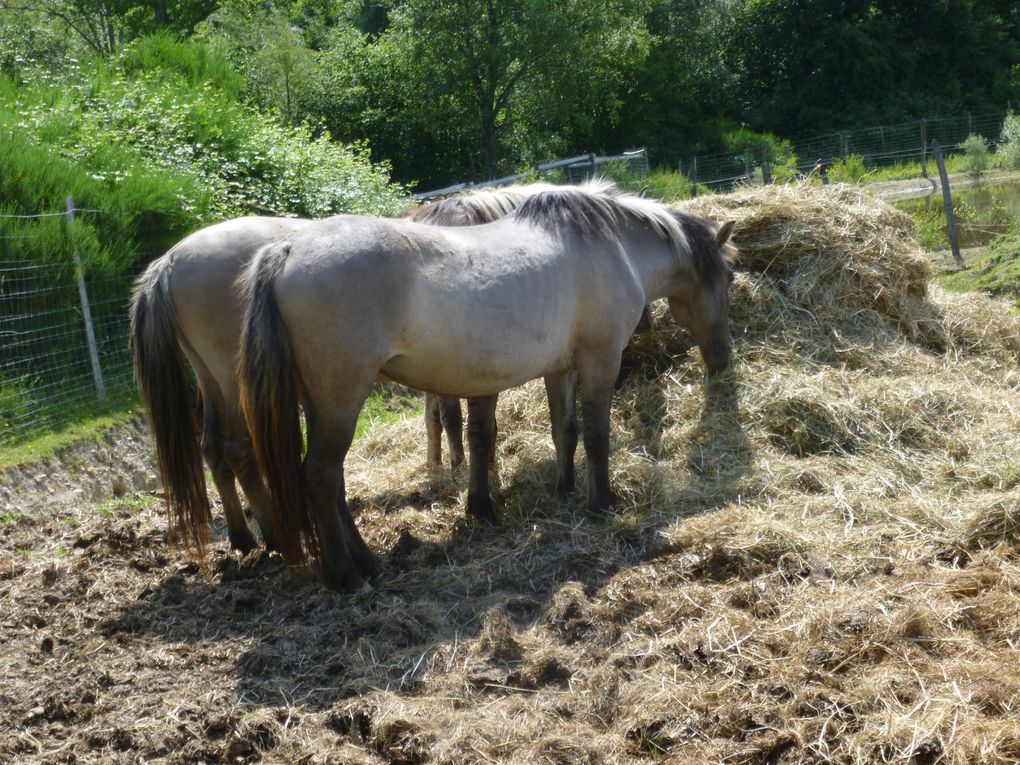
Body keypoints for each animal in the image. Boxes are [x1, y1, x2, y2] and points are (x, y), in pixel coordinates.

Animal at [237, 182, 734, 591]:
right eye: (730, 276)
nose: (723, 361)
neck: (613, 245)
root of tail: (287, 249)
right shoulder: (600, 360)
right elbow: (597, 434)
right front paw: (600, 503)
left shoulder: (560, 369)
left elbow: (565, 431)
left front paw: (565, 490)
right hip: (341, 399)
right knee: (321, 474)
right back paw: (347, 575)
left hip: (321, 403)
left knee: (332, 478)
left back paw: (365, 562)